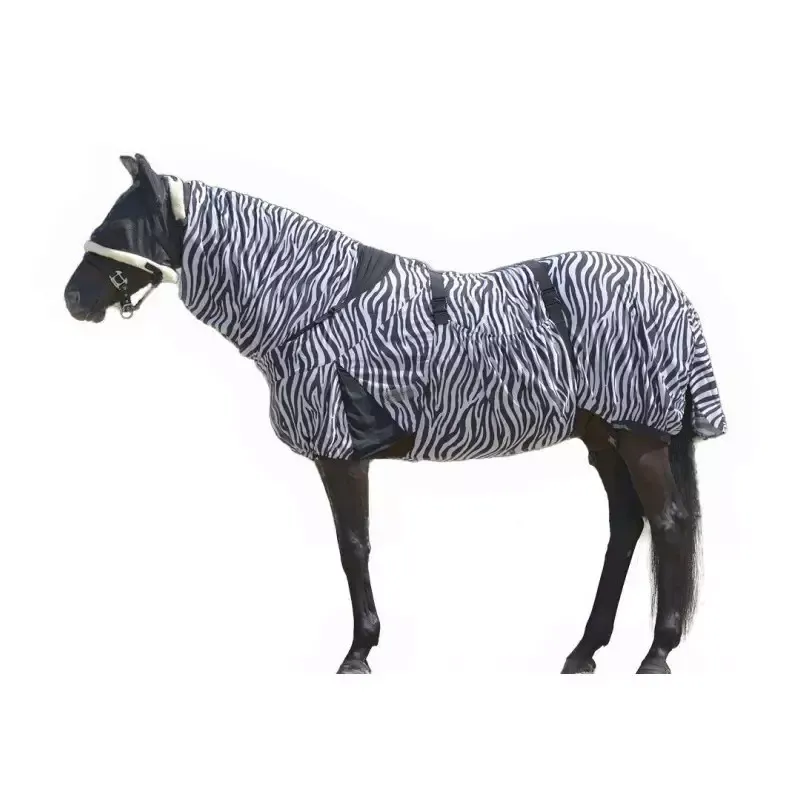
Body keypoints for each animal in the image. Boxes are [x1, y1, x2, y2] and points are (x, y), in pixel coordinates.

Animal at [63, 153, 727, 674]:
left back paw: (656, 654)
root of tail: (673, 293)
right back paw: (584, 651)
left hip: (639, 435)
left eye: (120, 223)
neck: (312, 305)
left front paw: (358, 651)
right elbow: (352, 546)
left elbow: (353, 546)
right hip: (604, 435)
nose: (73, 299)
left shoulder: (341, 455)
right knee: (627, 523)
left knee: (668, 523)